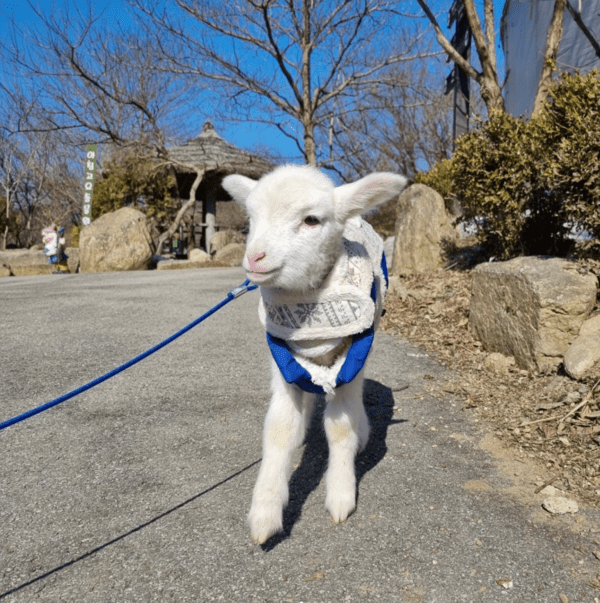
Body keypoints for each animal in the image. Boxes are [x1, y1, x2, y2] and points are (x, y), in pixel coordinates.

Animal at [223, 163, 406, 544]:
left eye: (311, 220)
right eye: (251, 217)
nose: (254, 258)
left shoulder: (350, 364)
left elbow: (340, 429)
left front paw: (340, 495)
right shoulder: (282, 363)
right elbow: (278, 430)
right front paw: (265, 512)